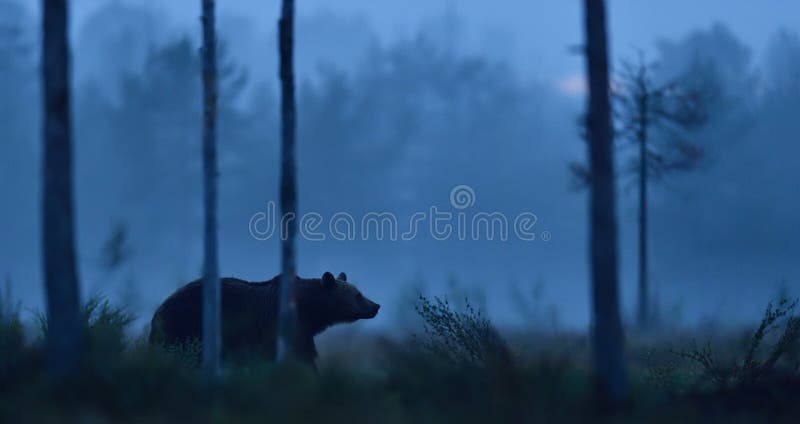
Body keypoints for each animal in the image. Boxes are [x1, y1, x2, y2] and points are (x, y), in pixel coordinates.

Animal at [151, 272, 382, 364]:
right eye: (358, 295)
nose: (376, 306)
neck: (309, 308)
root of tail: (158, 310)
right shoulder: (277, 327)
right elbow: (300, 356)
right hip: (185, 326)